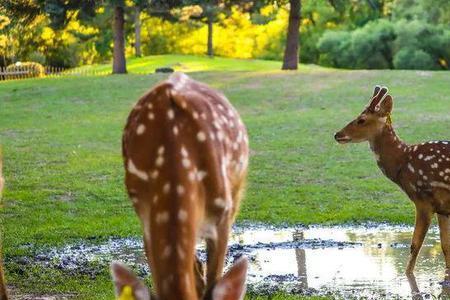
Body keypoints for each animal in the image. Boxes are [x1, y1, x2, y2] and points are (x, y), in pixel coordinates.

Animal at [334, 86, 450, 274]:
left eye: (361, 119)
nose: (337, 134)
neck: (403, 161)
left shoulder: (423, 200)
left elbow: (415, 245)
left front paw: (407, 274)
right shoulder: (442, 208)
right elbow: (445, 246)